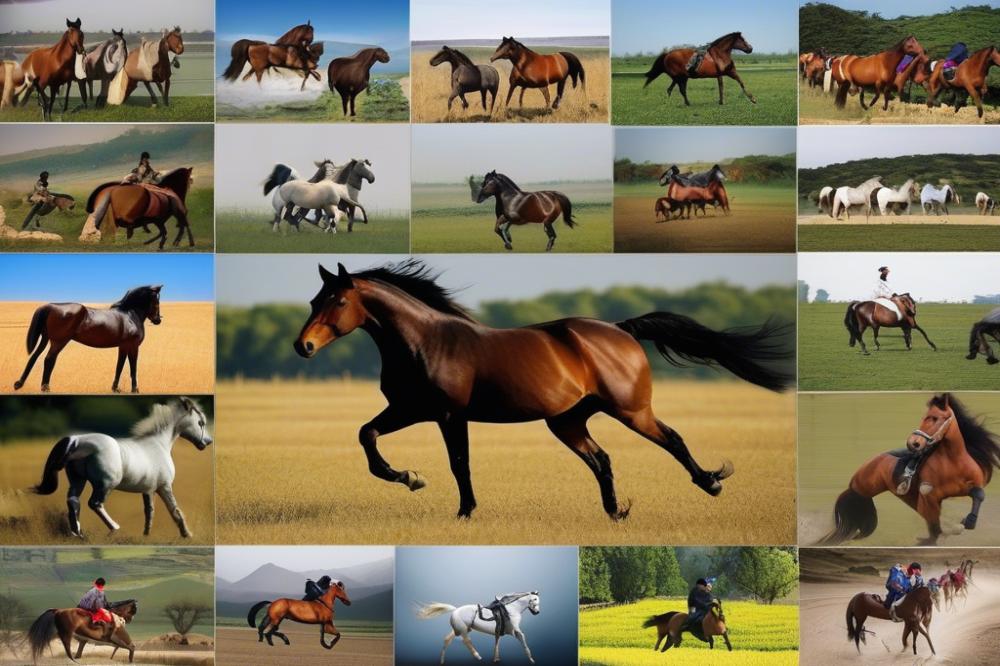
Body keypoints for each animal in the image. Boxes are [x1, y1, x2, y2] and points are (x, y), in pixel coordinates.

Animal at [13, 285, 163, 394]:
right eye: (156, 301)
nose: (158, 320)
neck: (129, 314)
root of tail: (50, 306)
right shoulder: (133, 346)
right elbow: (133, 368)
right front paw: (135, 390)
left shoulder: (123, 346)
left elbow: (119, 366)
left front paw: (115, 388)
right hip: (59, 341)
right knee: (49, 360)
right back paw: (45, 388)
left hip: (45, 339)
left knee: (34, 357)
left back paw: (19, 383)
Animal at [32, 397, 211, 538]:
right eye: (200, 422)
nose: (207, 442)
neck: (159, 445)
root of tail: (77, 440)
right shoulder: (164, 486)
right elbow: (175, 511)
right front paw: (187, 534)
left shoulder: (148, 490)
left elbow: (149, 512)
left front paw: (146, 535)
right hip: (105, 485)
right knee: (94, 504)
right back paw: (114, 528)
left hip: (78, 480)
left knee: (73, 501)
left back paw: (77, 533)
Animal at [293, 260, 793, 520]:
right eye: (315, 300)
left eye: (338, 301)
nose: (304, 346)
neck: (423, 342)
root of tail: (620, 328)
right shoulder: (409, 409)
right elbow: (367, 436)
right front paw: (409, 477)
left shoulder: (449, 414)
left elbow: (460, 464)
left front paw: (464, 512)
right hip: (567, 421)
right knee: (601, 459)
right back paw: (615, 512)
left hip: (631, 410)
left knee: (671, 439)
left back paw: (710, 483)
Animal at [819, 393, 1000, 546]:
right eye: (924, 417)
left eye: (934, 417)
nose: (912, 443)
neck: (953, 461)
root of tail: (854, 482)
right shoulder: (929, 497)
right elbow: (933, 526)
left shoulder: (968, 486)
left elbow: (978, 494)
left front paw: (969, 522)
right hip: (869, 488)